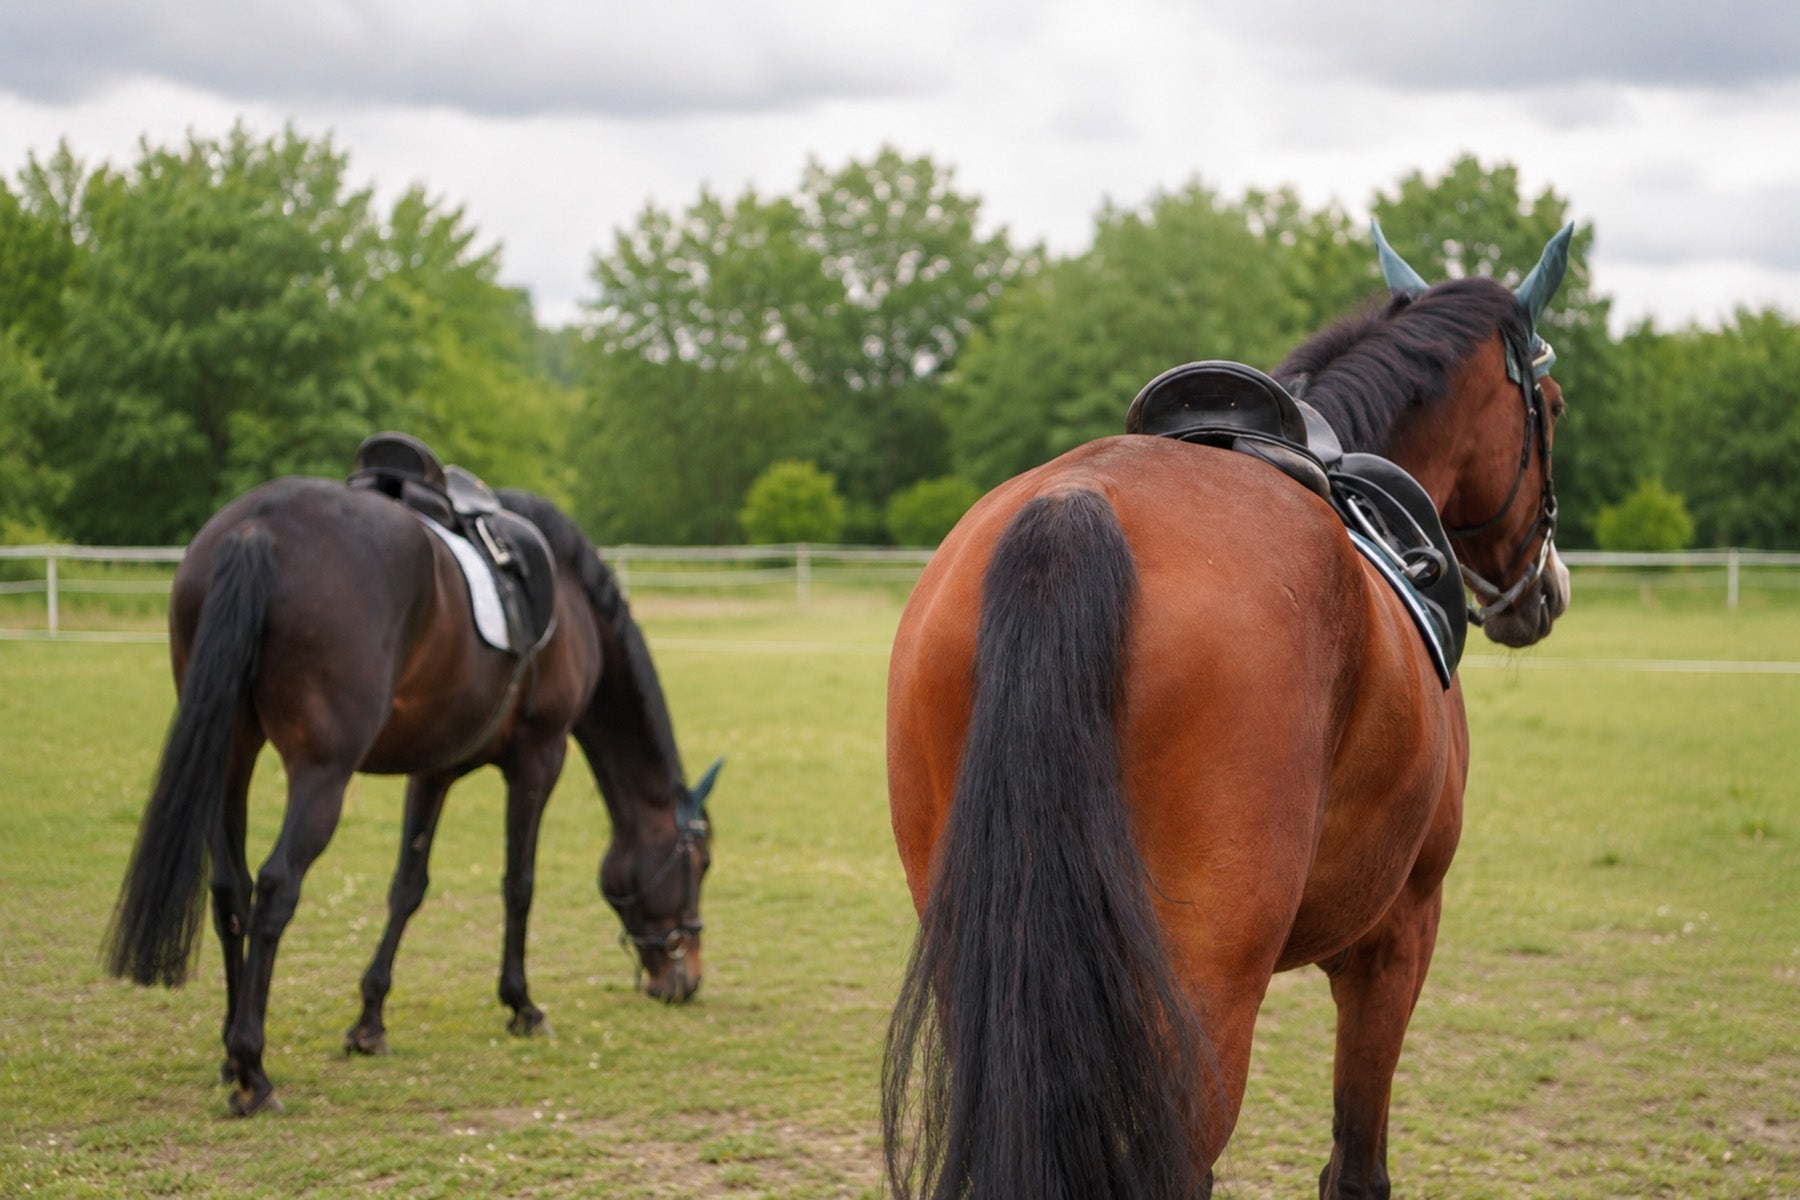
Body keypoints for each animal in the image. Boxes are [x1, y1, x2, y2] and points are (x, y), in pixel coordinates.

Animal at [104, 472, 720, 1116]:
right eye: (700, 863)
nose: (685, 980)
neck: (571, 603)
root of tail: (257, 527)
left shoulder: (433, 771)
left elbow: (408, 887)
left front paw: (370, 1021)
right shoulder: (539, 758)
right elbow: (519, 885)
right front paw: (522, 1005)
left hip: (231, 751)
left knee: (231, 889)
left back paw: (229, 1055)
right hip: (323, 772)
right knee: (275, 887)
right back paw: (252, 1070)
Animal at [881, 222, 1575, 1198]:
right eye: (1549, 405)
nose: (1543, 590)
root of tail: (1074, 508)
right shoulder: (1400, 934)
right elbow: (1356, 1166)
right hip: (1206, 992)